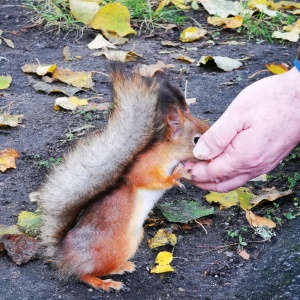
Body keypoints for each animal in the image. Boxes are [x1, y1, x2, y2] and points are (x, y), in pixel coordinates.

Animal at [34, 65, 209, 290]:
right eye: (196, 139)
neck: (168, 154)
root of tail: (64, 255)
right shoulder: (146, 165)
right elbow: (148, 179)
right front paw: (177, 175)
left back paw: (120, 268)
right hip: (116, 247)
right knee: (84, 274)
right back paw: (104, 283)